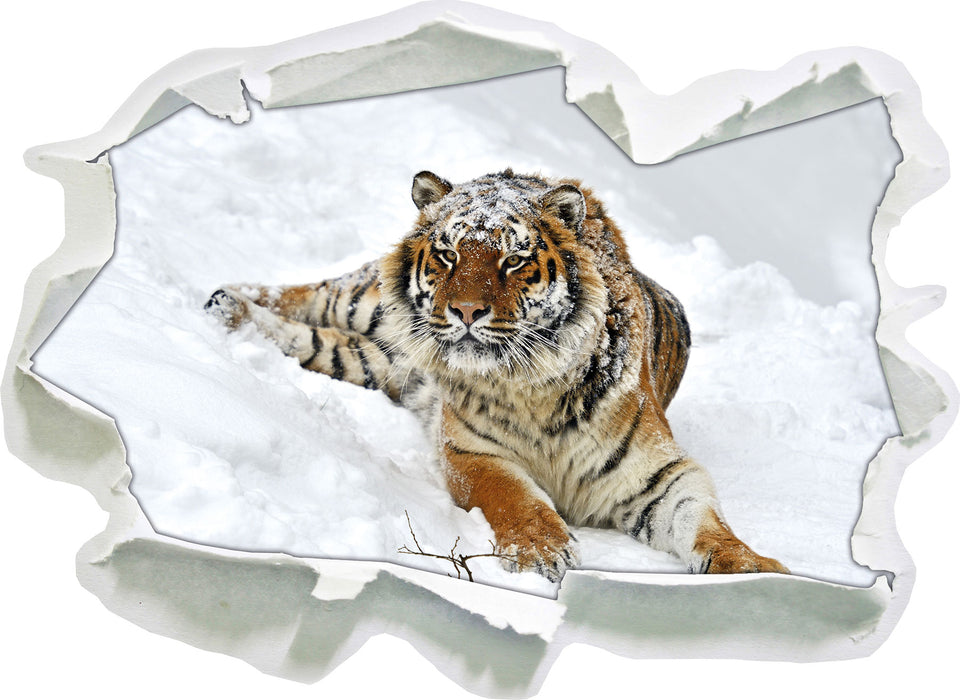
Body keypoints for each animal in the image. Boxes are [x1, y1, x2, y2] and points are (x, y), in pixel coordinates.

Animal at [204, 169, 788, 581]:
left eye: (512, 261)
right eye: (447, 254)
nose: (465, 311)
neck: (534, 386)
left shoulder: (659, 473)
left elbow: (705, 522)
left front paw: (753, 572)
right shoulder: (471, 452)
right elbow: (516, 498)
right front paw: (542, 554)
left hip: (375, 359)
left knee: (313, 340)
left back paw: (231, 311)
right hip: (363, 301)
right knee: (306, 293)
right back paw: (220, 298)